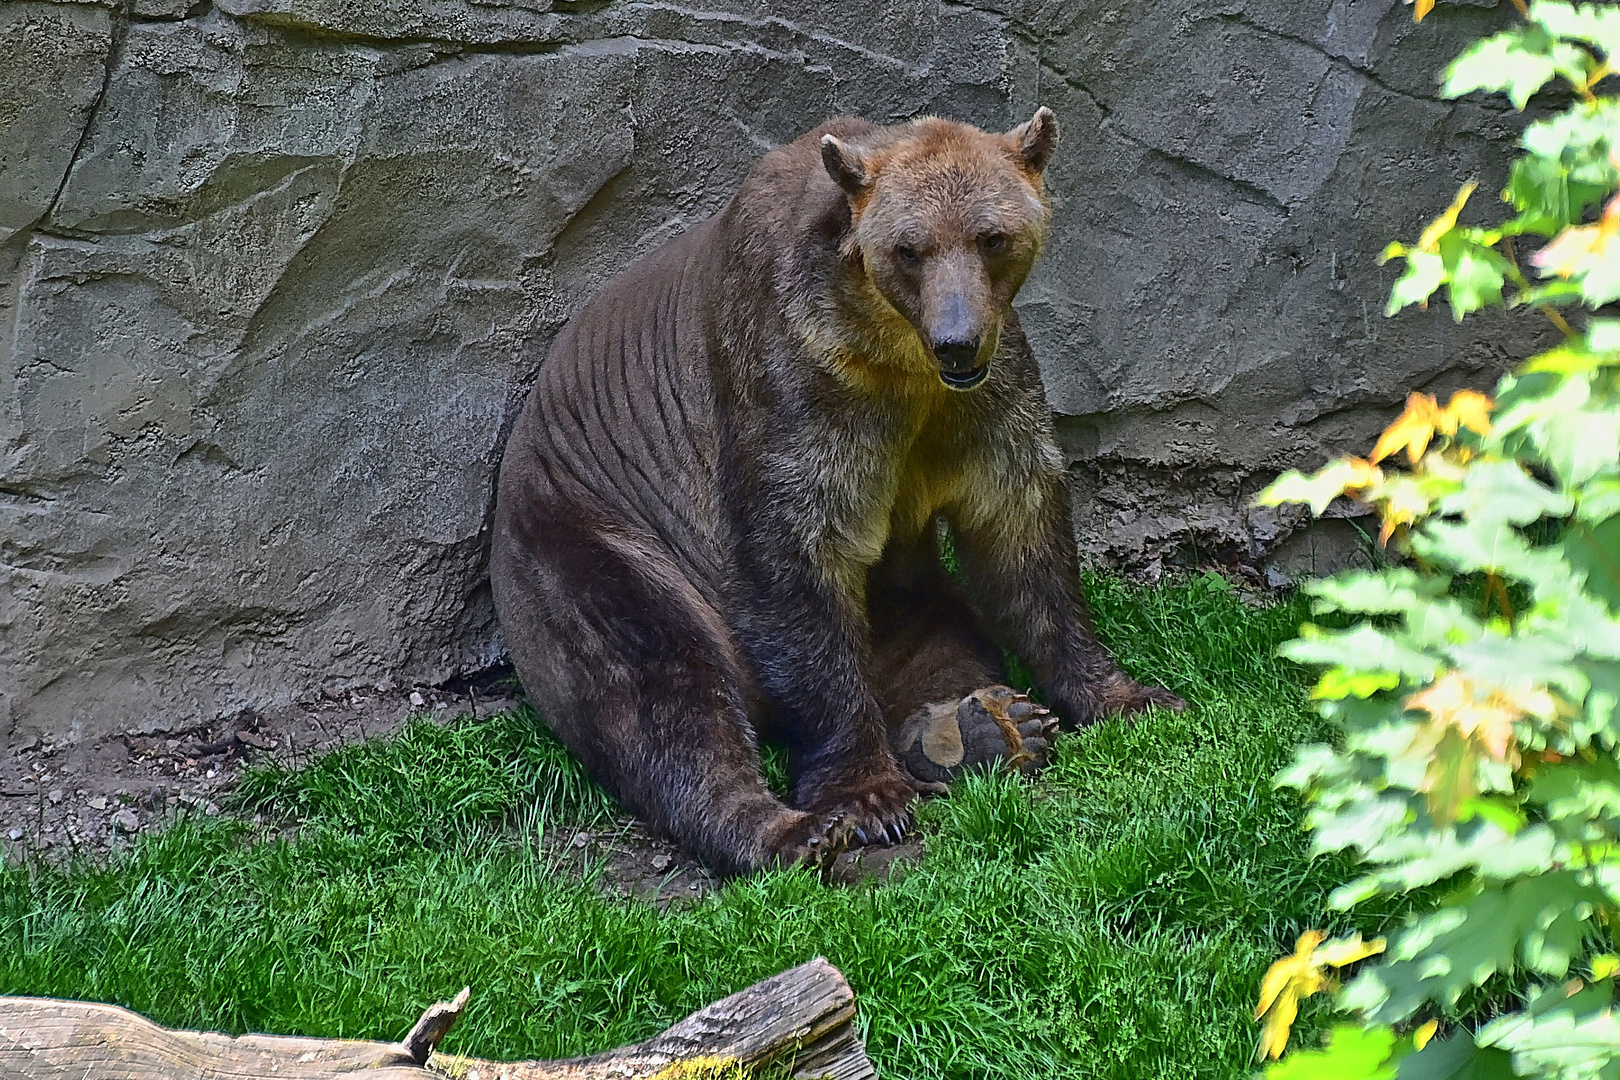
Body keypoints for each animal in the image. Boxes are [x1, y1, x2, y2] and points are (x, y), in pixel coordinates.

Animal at [486, 105, 1185, 874]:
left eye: (992, 237)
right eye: (910, 249)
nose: (957, 341)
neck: (891, 350)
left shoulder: (983, 400)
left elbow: (1021, 533)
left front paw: (1129, 695)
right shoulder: (791, 386)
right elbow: (794, 563)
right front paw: (867, 797)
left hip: (897, 593)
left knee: (937, 633)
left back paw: (982, 727)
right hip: (589, 540)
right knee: (661, 685)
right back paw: (788, 830)